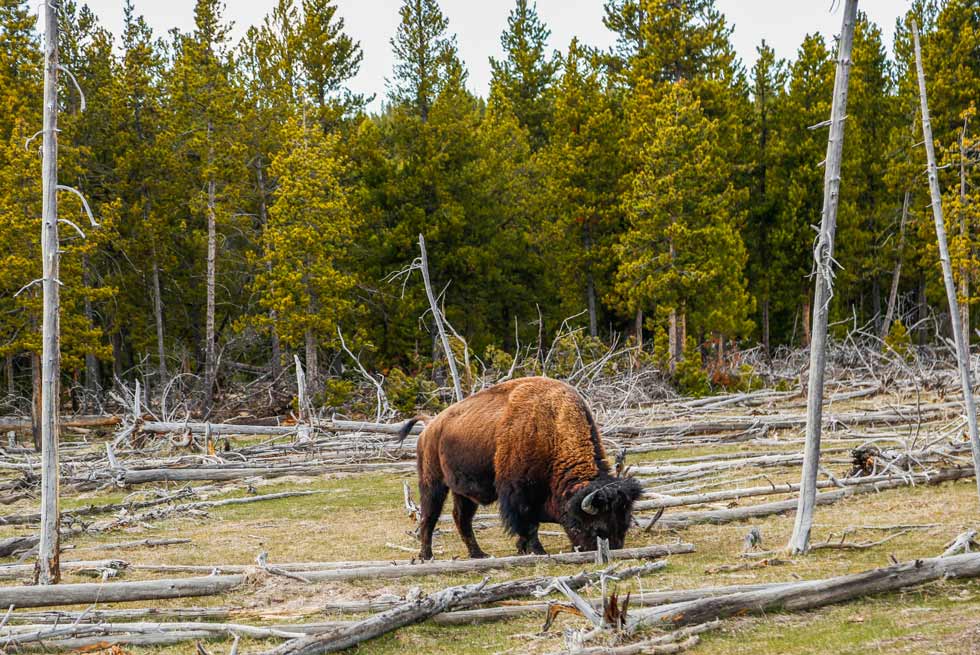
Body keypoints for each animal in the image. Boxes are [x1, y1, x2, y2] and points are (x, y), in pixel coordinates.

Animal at [398, 376, 642, 559]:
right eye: (597, 528)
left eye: (625, 523)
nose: (612, 550)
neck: (552, 429)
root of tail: (430, 425)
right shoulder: (519, 492)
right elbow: (528, 522)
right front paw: (536, 550)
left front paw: (522, 548)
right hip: (433, 483)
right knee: (429, 517)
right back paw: (427, 556)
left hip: (462, 492)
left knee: (462, 518)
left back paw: (478, 554)